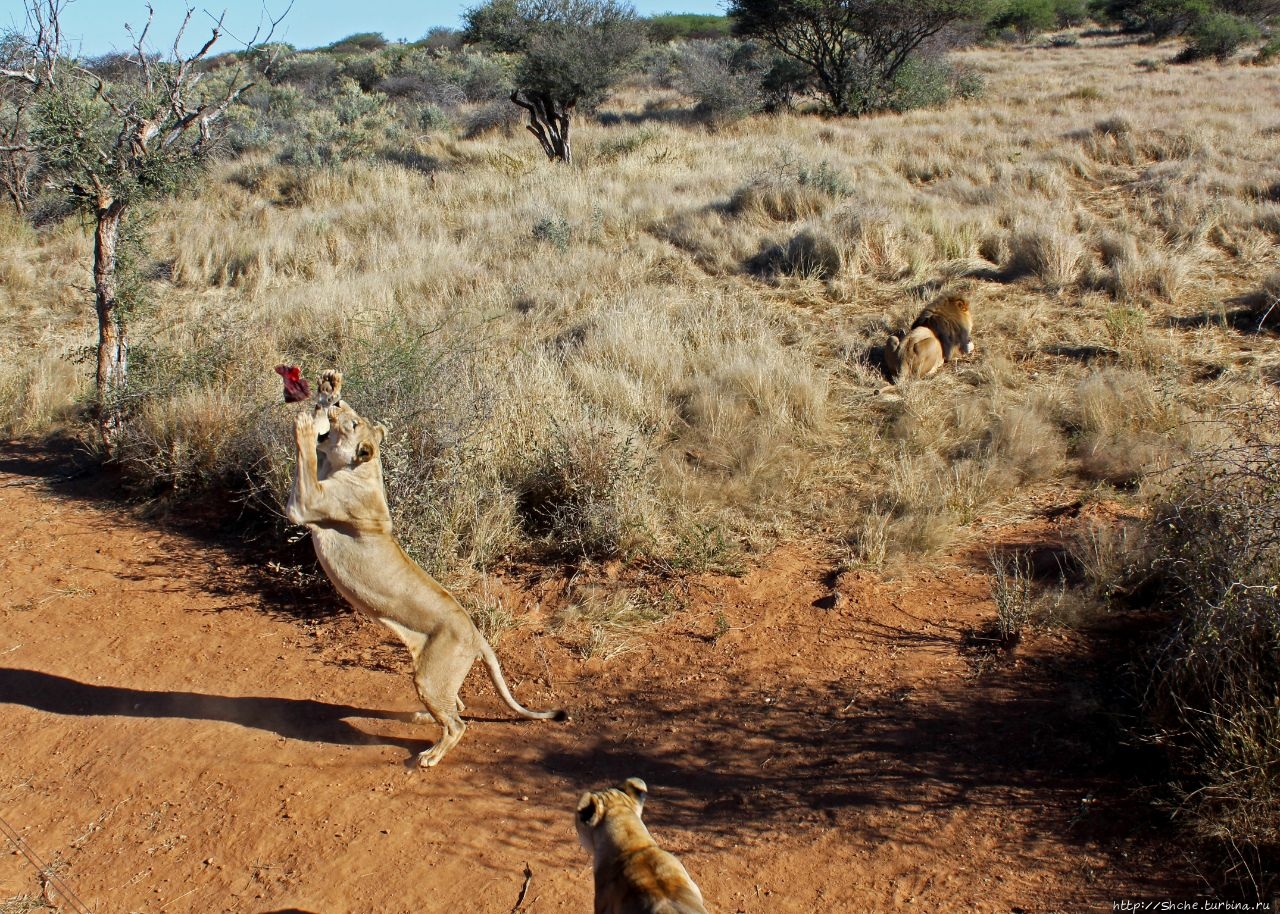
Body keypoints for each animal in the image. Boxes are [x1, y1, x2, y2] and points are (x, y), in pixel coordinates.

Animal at [290, 366, 570, 762]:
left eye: (353, 422)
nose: (338, 405)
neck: (360, 469)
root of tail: (477, 634)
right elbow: (315, 453)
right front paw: (330, 386)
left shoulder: (306, 505)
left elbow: (307, 459)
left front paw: (305, 421)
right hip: (437, 677)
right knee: (458, 706)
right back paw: (423, 718)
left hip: (429, 675)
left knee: (458, 723)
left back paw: (430, 756)